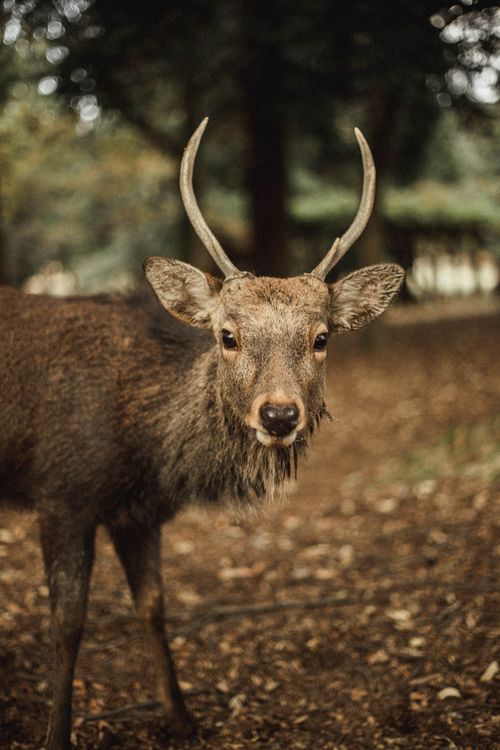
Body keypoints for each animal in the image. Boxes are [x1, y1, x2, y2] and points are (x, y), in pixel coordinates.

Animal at [0, 118, 404, 750]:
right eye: (227, 335)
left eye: (321, 338)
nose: (280, 415)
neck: (143, 447)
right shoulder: (61, 492)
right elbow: (66, 623)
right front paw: (56, 734)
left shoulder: (137, 513)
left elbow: (154, 606)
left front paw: (183, 718)